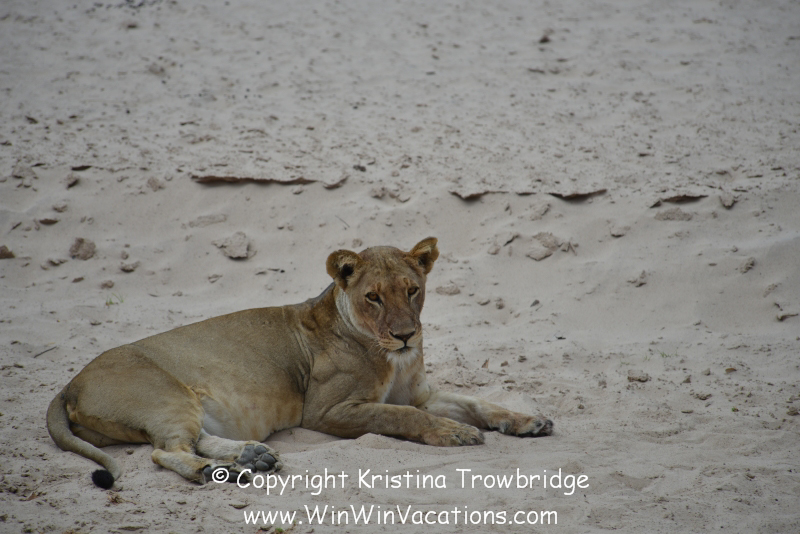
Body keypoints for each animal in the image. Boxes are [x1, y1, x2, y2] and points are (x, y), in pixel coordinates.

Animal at [47, 237, 553, 488]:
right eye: (373, 297)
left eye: (412, 290)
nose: (407, 334)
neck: (392, 356)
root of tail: (69, 384)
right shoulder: (327, 411)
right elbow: (399, 415)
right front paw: (455, 434)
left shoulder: (422, 392)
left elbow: (479, 403)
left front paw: (527, 421)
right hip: (167, 395)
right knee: (164, 451)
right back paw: (221, 473)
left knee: (191, 440)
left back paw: (251, 457)